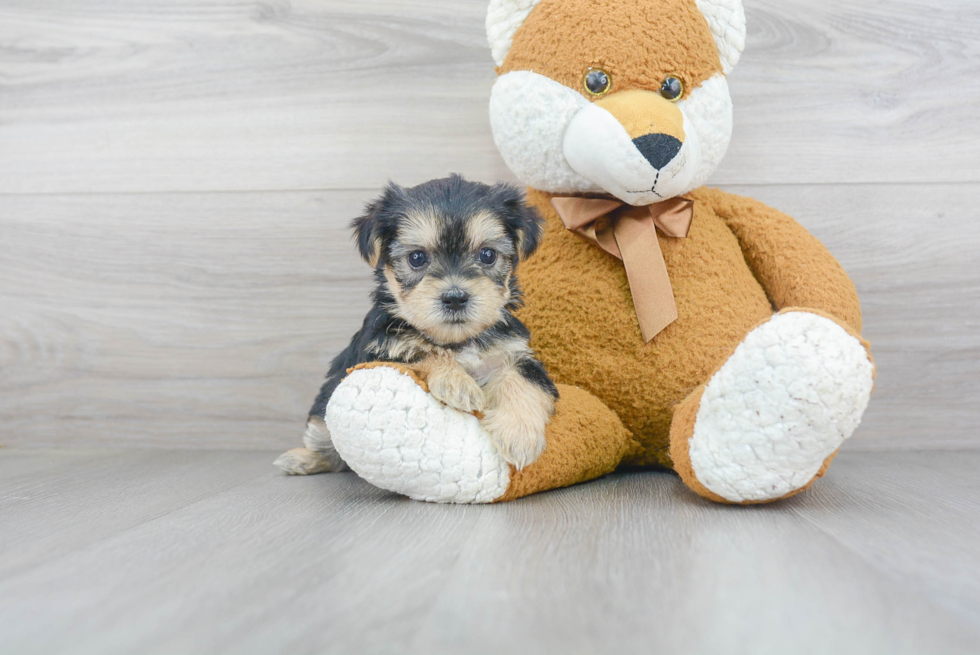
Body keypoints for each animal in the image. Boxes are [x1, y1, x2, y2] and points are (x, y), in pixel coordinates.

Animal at [276, 174, 560, 476]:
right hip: (325, 405)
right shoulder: (377, 350)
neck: (456, 341)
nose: (455, 297)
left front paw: (520, 435)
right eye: (416, 258)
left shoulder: (515, 352)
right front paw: (457, 383)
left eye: (487, 255)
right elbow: (420, 350)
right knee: (330, 445)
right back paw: (301, 459)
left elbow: (524, 379)